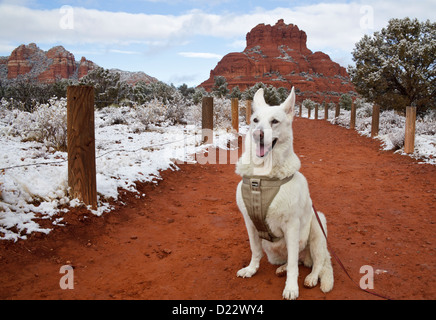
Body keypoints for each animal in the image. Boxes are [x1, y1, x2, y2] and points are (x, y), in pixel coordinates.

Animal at [235, 87, 334, 300]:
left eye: (275, 121)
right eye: (255, 120)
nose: (257, 134)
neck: (263, 174)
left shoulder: (292, 225)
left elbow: (295, 266)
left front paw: (291, 288)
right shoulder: (249, 222)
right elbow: (255, 250)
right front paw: (251, 269)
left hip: (317, 225)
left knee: (317, 262)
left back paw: (311, 277)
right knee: (293, 261)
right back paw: (282, 269)